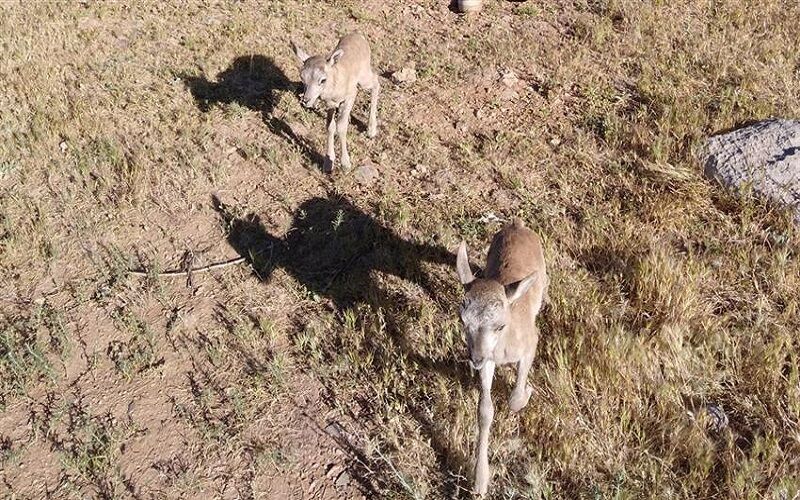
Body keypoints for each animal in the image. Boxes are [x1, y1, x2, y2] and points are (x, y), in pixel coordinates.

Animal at [290, 33, 382, 172]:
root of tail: (359, 36)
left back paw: (371, 131)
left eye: (322, 80)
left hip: (364, 80)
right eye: (302, 77)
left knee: (376, 82)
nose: (306, 100)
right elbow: (330, 127)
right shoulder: (330, 106)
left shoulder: (349, 98)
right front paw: (328, 163)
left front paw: (345, 164)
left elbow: (341, 126)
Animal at [456, 218, 552, 496]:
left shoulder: (531, 343)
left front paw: (529, 391)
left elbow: (515, 399)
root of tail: (517, 224)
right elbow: (484, 411)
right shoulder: (488, 361)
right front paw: (479, 482)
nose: (474, 358)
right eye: (462, 320)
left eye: (500, 326)